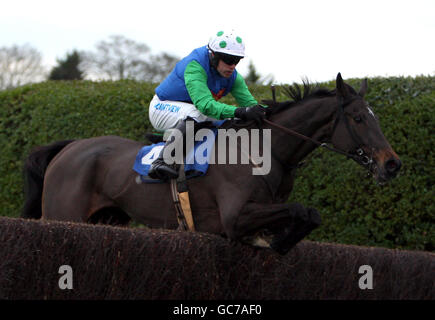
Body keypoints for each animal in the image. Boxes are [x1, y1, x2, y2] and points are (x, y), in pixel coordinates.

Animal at [20, 74, 402, 254]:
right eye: (358, 118)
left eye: (375, 117)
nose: (392, 164)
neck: (263, 152)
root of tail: (69, 148)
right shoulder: (233, 217)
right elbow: (301, 210)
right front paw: (275, 243)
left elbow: (310, 214)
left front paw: (277, 240)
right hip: (63, 217)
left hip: (108, 219)